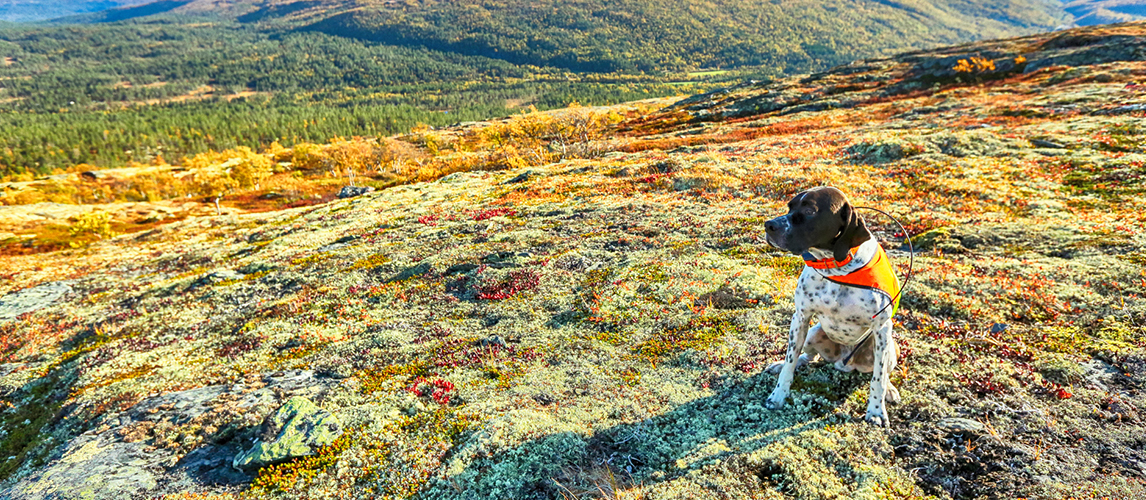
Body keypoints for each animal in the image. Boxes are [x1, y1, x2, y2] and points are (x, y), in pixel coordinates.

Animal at [765, 185, 898, 426]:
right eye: (790, 207)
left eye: (809, 211)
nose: (769, 225)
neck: (836, 267)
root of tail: (842, 363)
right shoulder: (800, 317)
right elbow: (790, 361)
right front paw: (777, 396)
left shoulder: (881, 329)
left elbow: (878, 377)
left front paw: (876, 411)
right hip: (813, 333)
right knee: (807, 357)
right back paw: (781, 363)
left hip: (890, 347)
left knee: (883, 371)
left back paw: (891, 390)